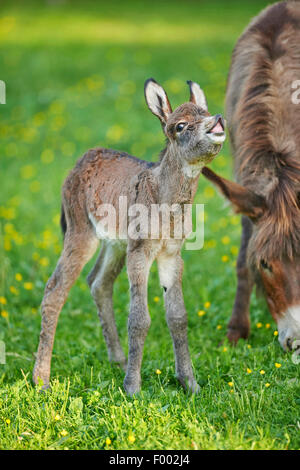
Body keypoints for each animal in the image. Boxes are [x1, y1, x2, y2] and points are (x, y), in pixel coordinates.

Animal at [32, 79, 225, 394]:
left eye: (206, 112)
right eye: (180, 125)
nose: (217, 121)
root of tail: (76, 165)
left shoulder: (172, 253)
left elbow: (178, 316)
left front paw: (190, 383)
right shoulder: (141, 249)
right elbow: (139, 318)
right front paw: (133, 387)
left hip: (114, 243)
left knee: (97, 281)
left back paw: (118, 361)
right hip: (79, 229)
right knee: (54, 289)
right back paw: (42, 380)